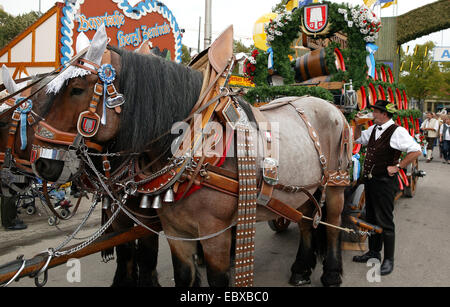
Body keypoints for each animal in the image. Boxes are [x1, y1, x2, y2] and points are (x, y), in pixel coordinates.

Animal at [31, 26, 352, 288]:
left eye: (76, 89)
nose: (42, 162)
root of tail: (332, 107)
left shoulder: (214, 233)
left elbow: (217, 278)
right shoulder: (176, 231)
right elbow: (182, 274)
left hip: (336, 183)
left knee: (332, 223)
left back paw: (331, 272)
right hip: (304, 190)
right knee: (307, 221)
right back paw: (300, 269)